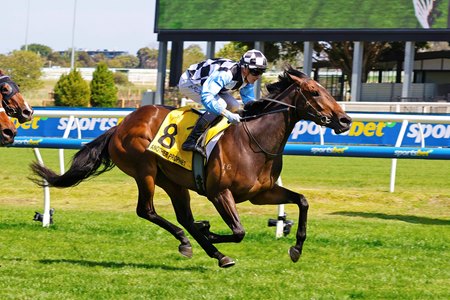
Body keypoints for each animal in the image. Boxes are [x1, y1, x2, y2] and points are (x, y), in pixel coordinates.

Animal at [30, 67, 352, 268]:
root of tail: (120, 124)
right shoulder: (219, 192)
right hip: (145, 171)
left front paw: (296, 248)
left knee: (183, 216)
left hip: (172, 181)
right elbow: (238, 231)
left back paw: (208, 249)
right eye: (314, 92)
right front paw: (210, 230)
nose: (345, 120)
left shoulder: (262, 193)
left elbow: (302, 201)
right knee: (147, 211)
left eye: (323, 89)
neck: (253, 140)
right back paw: (197, 241)